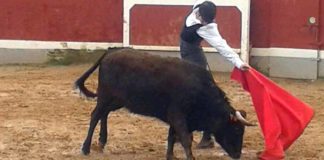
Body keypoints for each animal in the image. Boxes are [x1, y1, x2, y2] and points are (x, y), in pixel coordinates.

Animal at [74, 47, 253, 160]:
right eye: (237, 130)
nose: (237, 155)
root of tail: (109, 53)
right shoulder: (178, 116)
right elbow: (185, 139)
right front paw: (189, 157)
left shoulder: (175, 118)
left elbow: (171, 136)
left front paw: (171, 156)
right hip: (106, 96)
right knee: (95, 115)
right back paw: (86, 148)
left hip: (117, 100)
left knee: (104, 114)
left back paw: (102, 142)